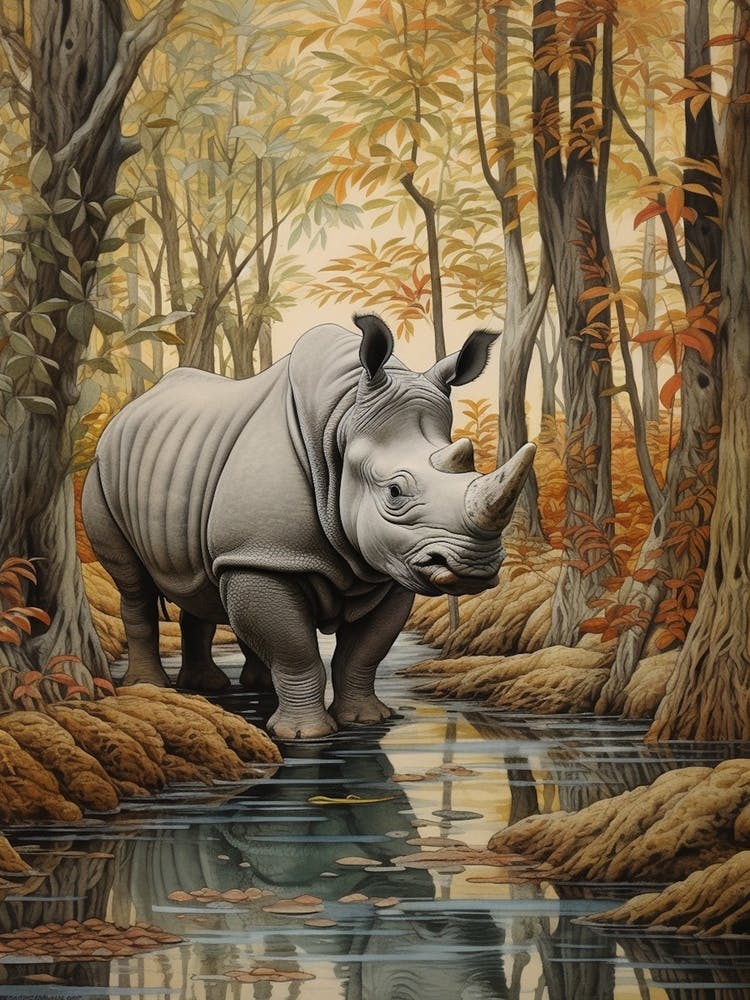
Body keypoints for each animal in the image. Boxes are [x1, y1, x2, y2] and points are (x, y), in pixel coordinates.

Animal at [82, 314, 535, 739]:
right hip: (102, 473)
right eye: (394, 492)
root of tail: (127, 411)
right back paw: (152, 687)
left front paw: (367, 720)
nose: (476, 566)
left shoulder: (390, 566)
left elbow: (363, 652)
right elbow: (295, 649)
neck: (341, 422)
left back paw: (221, 687)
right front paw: (305, 735)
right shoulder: (263, 554)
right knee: (135, 586)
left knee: (200, 581)